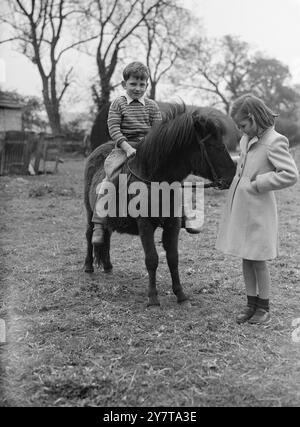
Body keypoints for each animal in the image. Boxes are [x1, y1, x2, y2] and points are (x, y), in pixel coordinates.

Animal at [83, 105, 236, 310]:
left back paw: (107, 266)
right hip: (89, 211)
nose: (232, 177)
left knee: (106, 234)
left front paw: (180, 294)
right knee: (90, 234)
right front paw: (153, 298)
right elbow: (152, 259)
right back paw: (88, 266)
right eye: (212, 145)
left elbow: (173, 258)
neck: (155, 179)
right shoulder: (145, 224)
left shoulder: (173, 224)